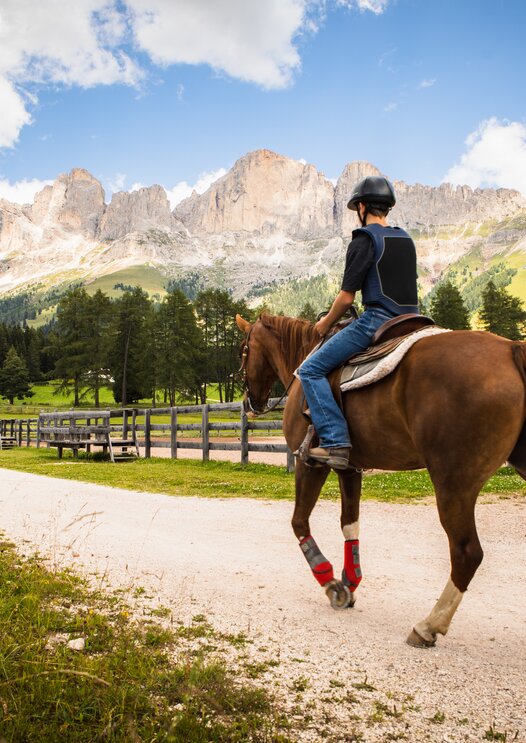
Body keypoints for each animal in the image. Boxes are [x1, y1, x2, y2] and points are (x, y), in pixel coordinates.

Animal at [238, 314, 526, 644]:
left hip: (454, 484)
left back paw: (429, 625)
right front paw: (350, 581)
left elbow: (299, 521)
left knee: (467, 553)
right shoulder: (349, 468)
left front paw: (330, 582)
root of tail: (511, 349)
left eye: (244, 349)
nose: (250, 401)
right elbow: (350, 524)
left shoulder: (310, 463)